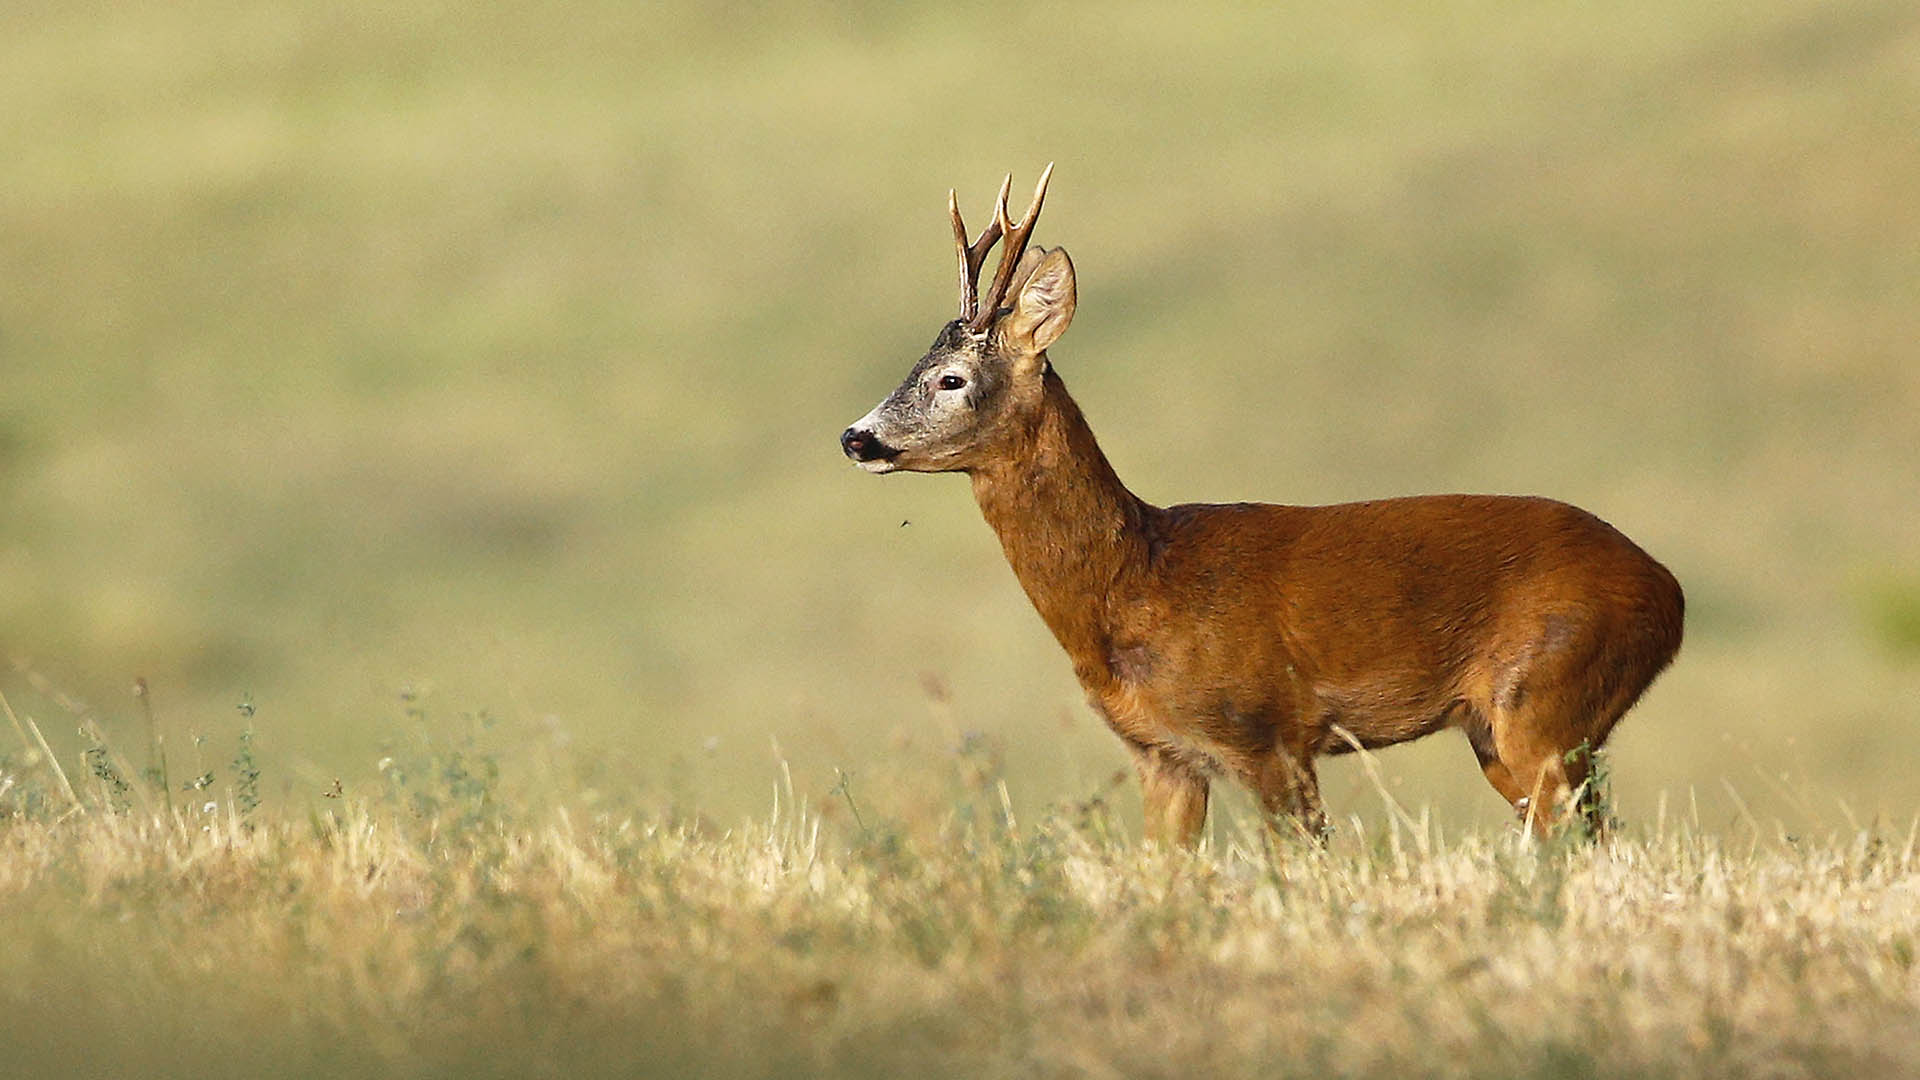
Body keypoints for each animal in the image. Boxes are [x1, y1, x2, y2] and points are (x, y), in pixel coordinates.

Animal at [840, 164, 1681, 845]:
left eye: (950, 378)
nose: (856, 436)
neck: (1135, 583)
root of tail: (1668, 592)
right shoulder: (1163, 755)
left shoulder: (1266, 731)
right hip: (1505, 728)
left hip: (1545, 696)